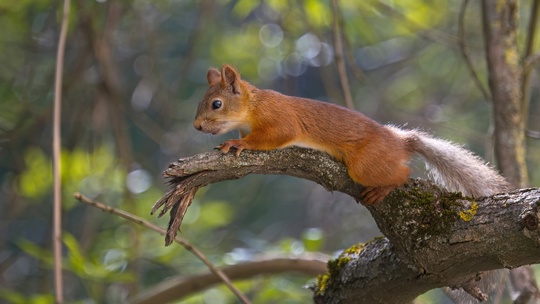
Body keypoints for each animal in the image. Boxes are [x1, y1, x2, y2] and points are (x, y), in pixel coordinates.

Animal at [194, 65, 510, 205]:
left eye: (216, 104)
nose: (196, 126)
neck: (252, 107)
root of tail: (400, 141)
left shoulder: (280, 118)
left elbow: (278, 134)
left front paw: (239, 143)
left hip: (365, 164)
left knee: (403, 174)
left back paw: (383, 188)